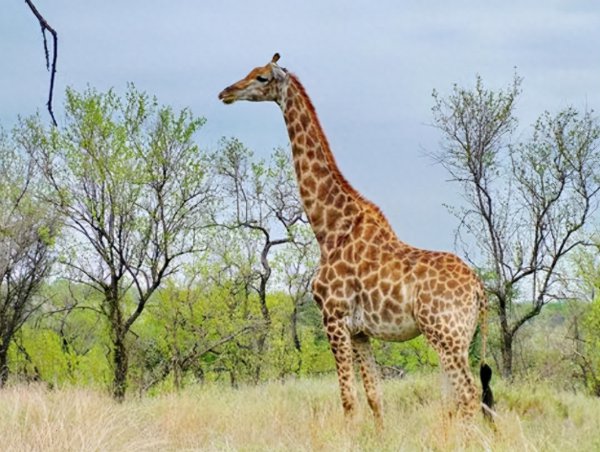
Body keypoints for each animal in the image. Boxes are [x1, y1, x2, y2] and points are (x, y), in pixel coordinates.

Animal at [219, 53, 492, 428]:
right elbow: (375, 398)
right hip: (459, 338)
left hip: (445, 335)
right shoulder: (361, 330)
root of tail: (480, 289)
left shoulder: (333, 319)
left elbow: (348, 401)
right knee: (457, 400)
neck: (331, 229)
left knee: (468, 396)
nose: (226, 92)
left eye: (261, 77)